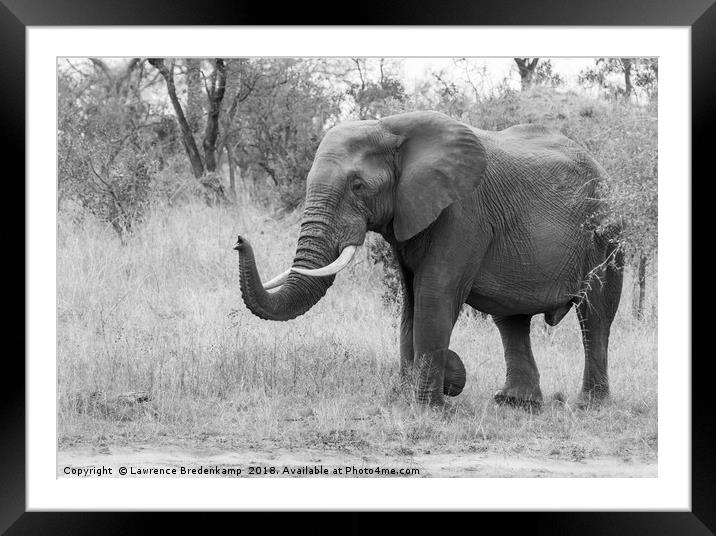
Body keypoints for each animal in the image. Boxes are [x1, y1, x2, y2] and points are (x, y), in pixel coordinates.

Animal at [234, 111, 620, 408]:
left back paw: (589, 405)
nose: (239, 240)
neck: (390, 128)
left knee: (596, 315)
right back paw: (515, 403)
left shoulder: (463, 212)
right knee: (511, 320)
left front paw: (426, 407)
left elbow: (435, 295)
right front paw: (404, 398)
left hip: (607, 235)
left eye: (358, 186)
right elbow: (411, 301)